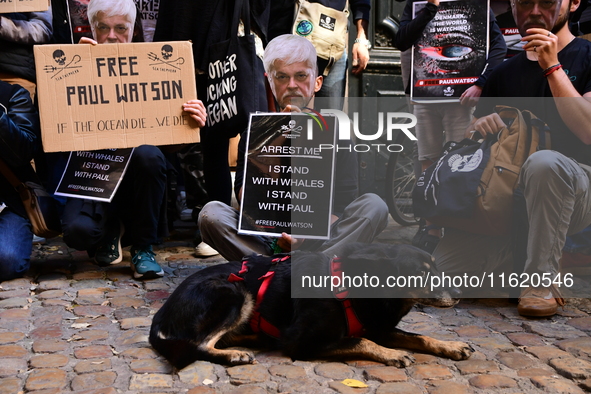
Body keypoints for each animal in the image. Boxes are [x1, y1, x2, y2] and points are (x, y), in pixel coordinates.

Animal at [150, 243, 474, 370]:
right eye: (421, 273)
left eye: (435, 267)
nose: (461, 291)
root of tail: (159, 317)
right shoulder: (303, 342)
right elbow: (360, 341)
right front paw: (392, 354)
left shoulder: (379, 326)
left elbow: (419, 336)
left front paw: (451, 346)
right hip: (234, 292)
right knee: (200, 344)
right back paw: (233, 355)